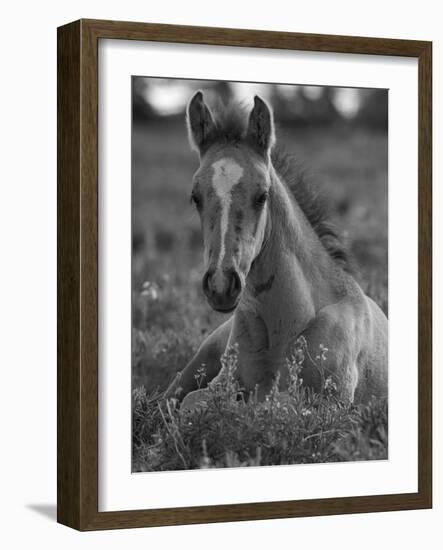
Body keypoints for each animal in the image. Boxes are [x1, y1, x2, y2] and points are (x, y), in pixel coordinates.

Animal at [165, 91, 386, 410]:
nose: (221, 285)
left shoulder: (331, 402)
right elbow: (193, 404)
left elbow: (268, 406)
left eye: (262, 195)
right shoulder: (220, 384)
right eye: (195, 197)